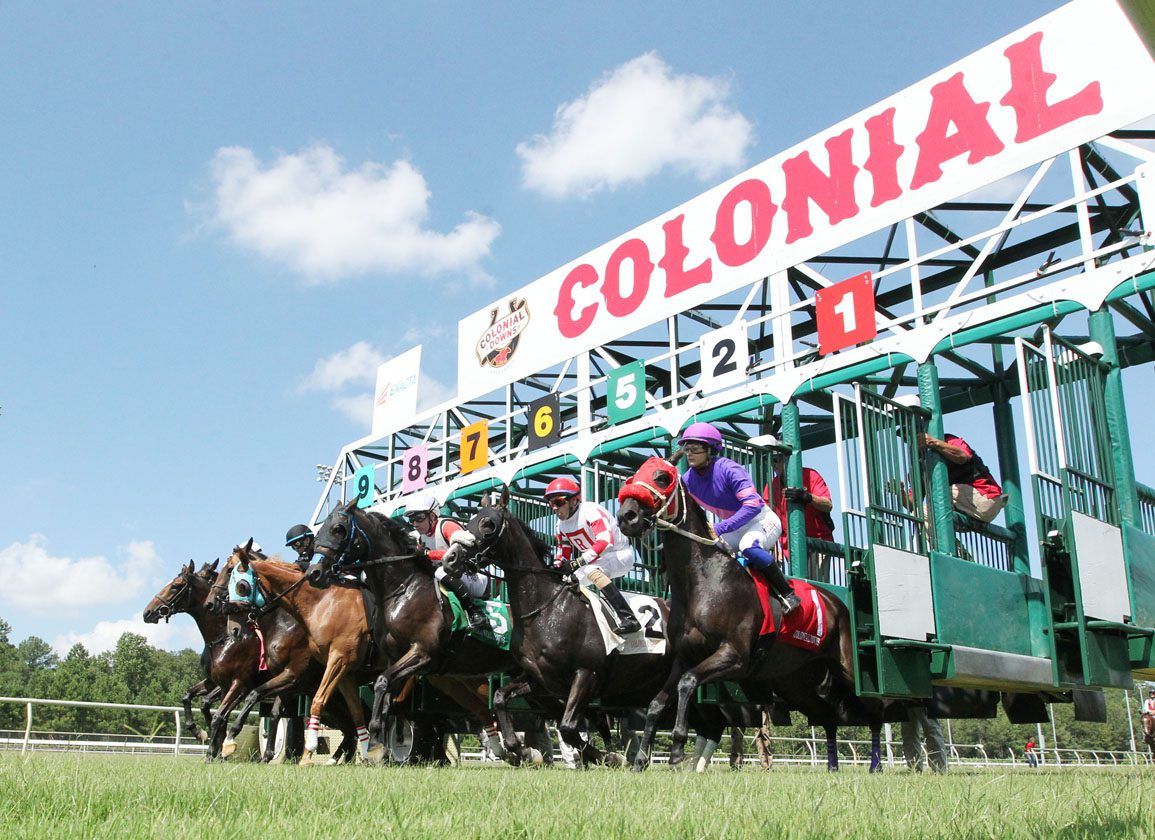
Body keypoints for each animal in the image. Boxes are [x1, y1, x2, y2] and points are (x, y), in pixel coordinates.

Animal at [314, 499, 517, 744]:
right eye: (321, 530)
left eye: (338, 529)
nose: (315, 572)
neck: (403, 589)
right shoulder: (395, 658)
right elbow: (387, 696)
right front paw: (379, 739)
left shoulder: (423, 653)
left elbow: (382, 682)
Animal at [614, 457, 882, 771]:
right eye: (632, 476)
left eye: (662, 477)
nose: (626, 516)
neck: (703, 581)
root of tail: (835, 601)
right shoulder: (684, 657)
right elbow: (657, 703)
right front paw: (641, 758)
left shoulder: (734, 656)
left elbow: (688, 683)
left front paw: (678, 749)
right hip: (799, 677)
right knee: (827, 715)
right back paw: (832, 766)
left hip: (846, 665)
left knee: (876, 709)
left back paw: (876, 764)